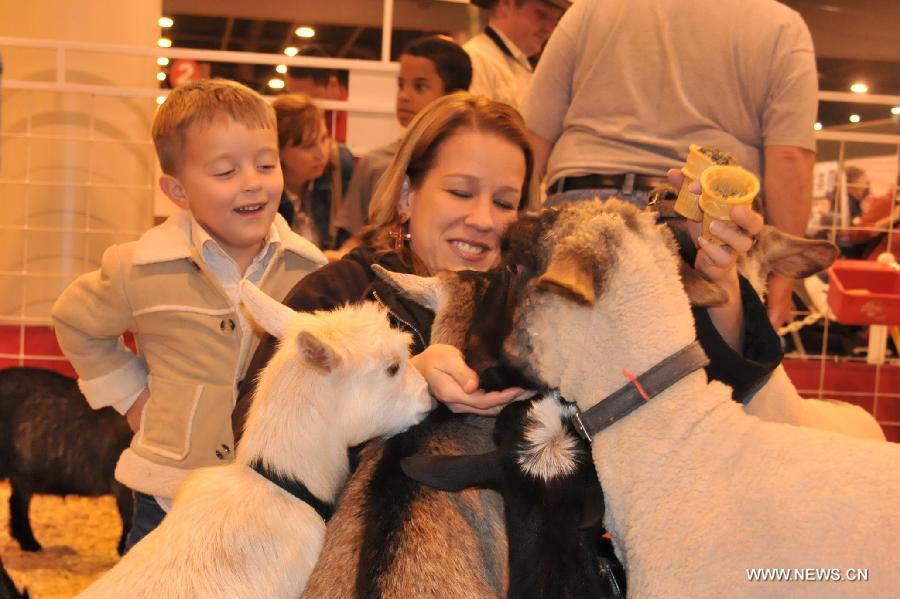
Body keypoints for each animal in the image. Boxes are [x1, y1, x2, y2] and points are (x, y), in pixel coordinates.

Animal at [0, 368, 134, 556]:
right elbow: (130, 518)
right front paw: (124, 550)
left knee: (18, 504)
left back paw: (30, 544)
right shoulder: (123, 484)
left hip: (22, 474)